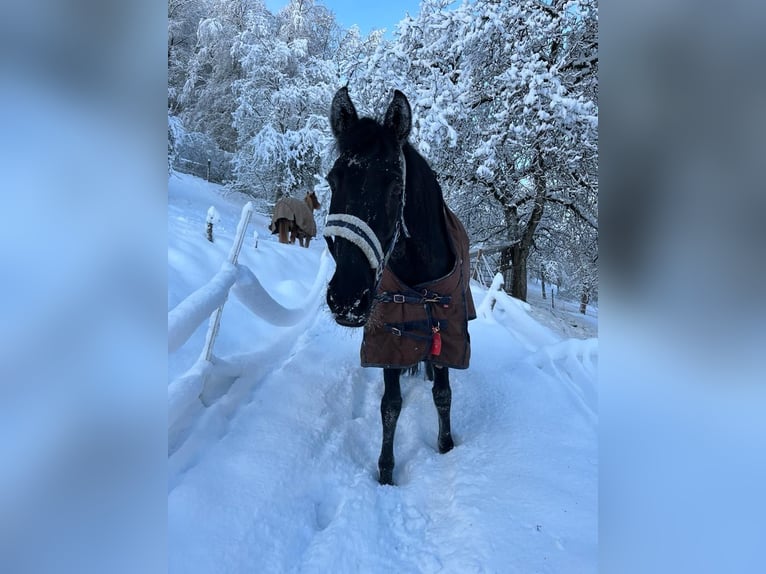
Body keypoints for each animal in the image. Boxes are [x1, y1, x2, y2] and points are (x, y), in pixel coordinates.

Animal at [322, 88, 474, 488]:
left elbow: (443, 393)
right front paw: (386, 472)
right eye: (332, 179)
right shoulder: (389, 333)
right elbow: (390, 406)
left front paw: (446, 447)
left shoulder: (449, 330)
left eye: (394, 185)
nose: (346, 298)